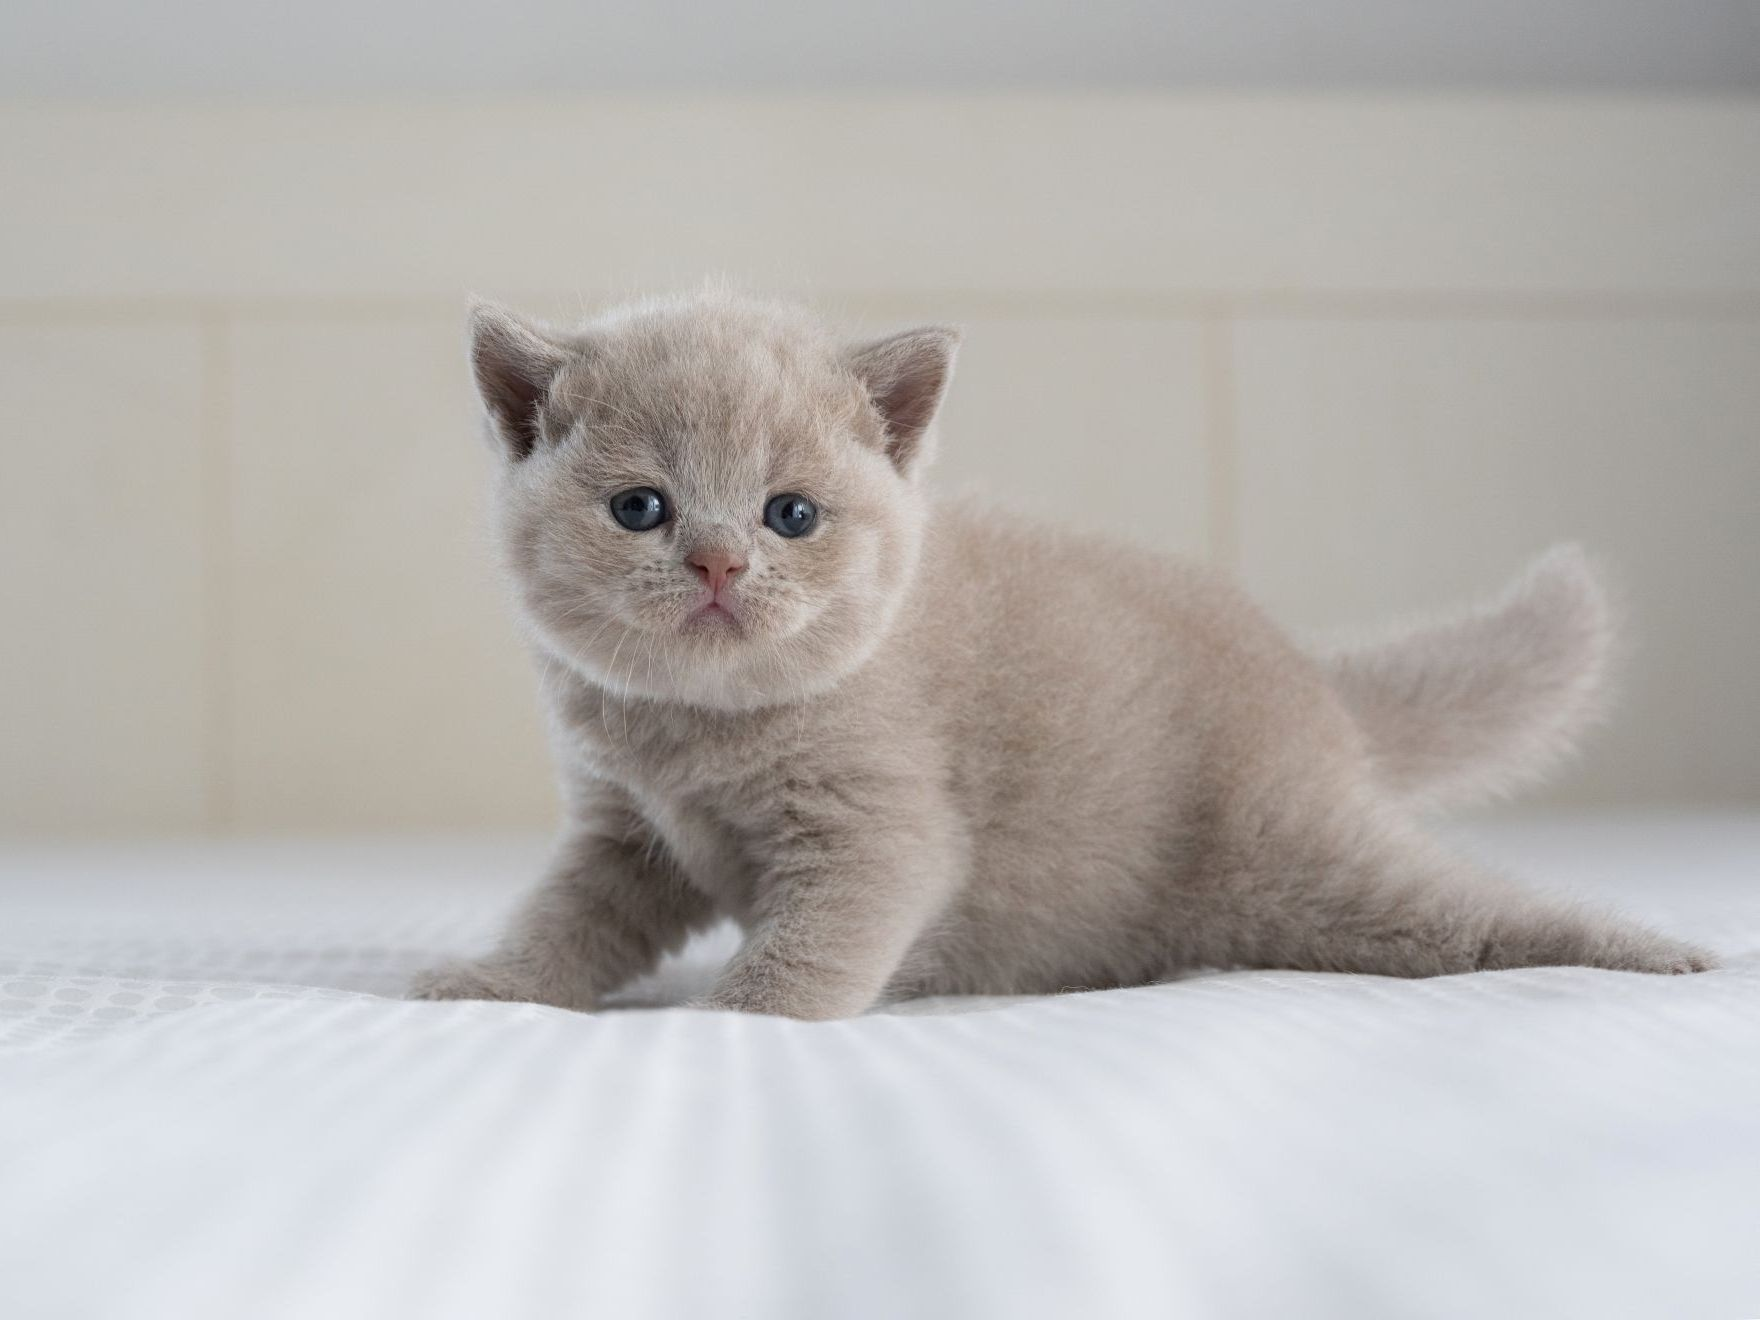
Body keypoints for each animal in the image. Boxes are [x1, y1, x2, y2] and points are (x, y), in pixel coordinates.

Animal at [408, 292, 1703, 1020]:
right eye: (640, 509)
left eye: (789, 515)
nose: (720, 564)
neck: (697, 732)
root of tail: (1305, 674)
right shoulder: (626, 832)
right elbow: (571, 915)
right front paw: (494, 985)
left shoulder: (881, 824)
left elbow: (819, 939)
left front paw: (730, 1021)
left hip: (1293, 863)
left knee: (1464, 914)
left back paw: (1656, 954)